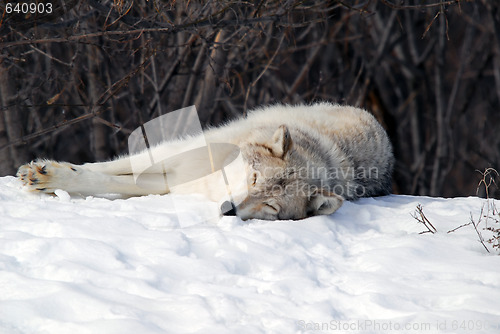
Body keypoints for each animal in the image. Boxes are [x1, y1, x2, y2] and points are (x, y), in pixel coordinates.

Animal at [16, 103, 394, 220]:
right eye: (254, 178)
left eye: (271, 207)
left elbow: (113, 181)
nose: (229, 210)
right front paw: (45, 173)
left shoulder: (174, 182)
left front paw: (49, 179)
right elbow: (104, 170)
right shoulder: (178, 156)